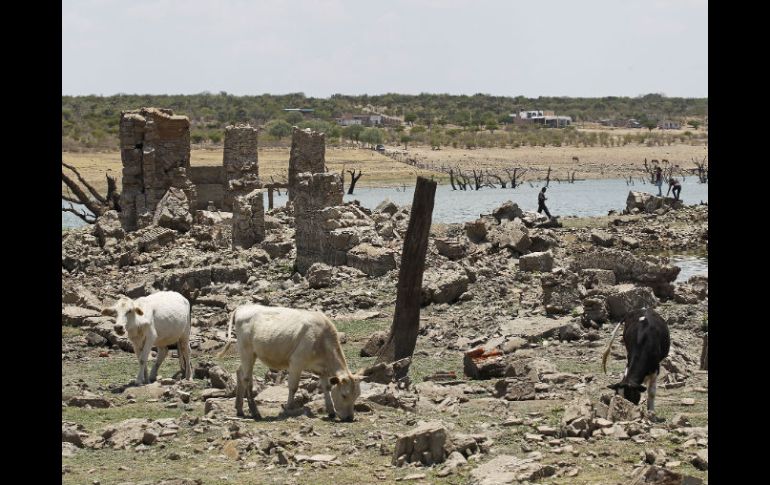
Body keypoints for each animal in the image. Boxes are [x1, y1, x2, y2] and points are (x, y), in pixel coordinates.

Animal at [216, 302, 360, 420]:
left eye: (356, 396)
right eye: (344, 395)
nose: (349, 418)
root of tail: (242, 307)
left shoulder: (321, 369)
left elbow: (326, 388)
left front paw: (331, 412)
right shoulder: (297, 362)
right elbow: (293, 386)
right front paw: (289, 408)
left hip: (250, 354)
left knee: (240, 372)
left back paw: (239, 409)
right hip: (246, 350)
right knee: (247, 378)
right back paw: (255, 412)